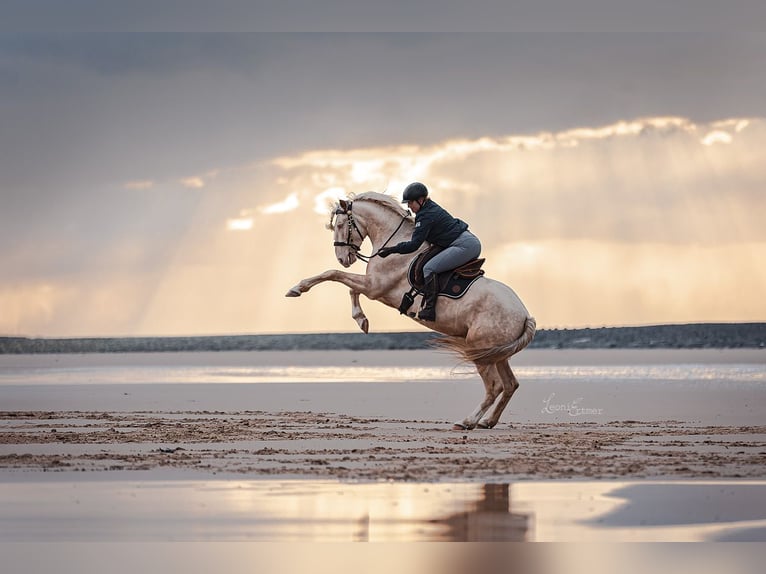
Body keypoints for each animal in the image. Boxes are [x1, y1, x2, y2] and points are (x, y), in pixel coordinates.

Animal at [284, 191, 536, 430]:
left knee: (495, 386)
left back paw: (467, 422)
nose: (343, 258)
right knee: (510, 384)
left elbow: (333, 275)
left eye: (339, 225)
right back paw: (487, 422)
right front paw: (362, 321)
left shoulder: (374, 287)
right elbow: (349, 289)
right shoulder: (371, 286)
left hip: (481, 350)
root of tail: (525, 315)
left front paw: (296, 289)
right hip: (496, 354)